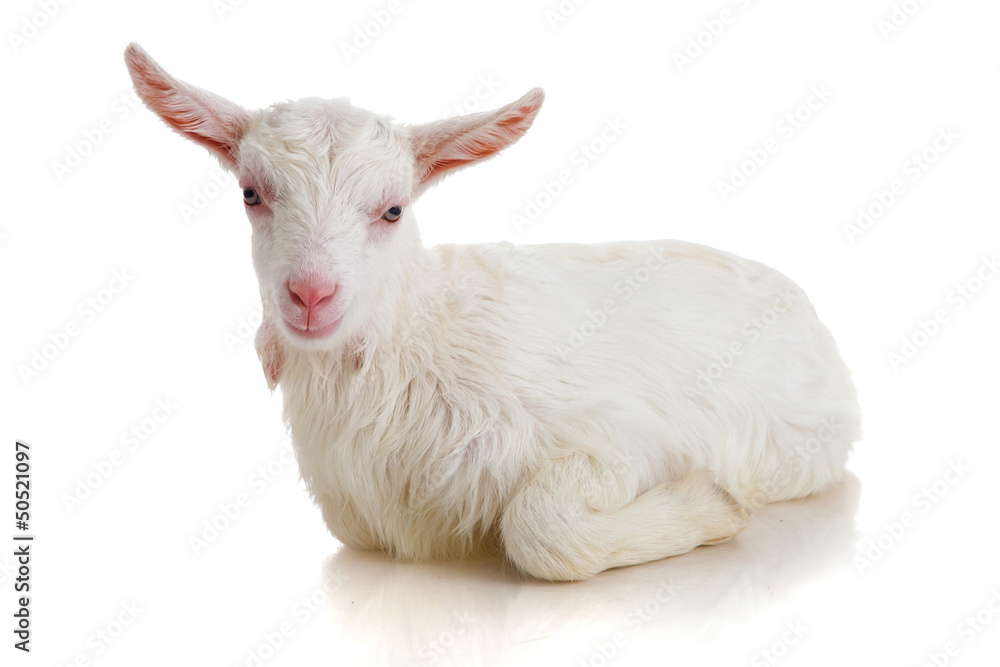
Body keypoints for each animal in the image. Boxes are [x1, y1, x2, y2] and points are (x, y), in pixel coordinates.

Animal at [124, 43, 861, 581]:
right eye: (251, 194)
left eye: (393, 210)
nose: (310, 295)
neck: (418, 341)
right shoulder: (350, 510)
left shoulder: (629, 436)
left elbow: (542, 529)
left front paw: (712, 505)